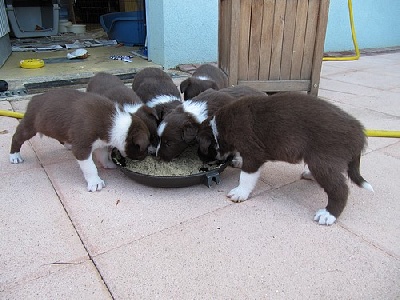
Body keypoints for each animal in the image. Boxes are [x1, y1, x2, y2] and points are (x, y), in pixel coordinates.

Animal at [10, 88, 152, 192]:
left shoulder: (101, 142)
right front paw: (95, 182)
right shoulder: (82, 148)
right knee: (17, 137)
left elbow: (103, 155)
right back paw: (14, 156)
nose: (146, 156)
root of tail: (34, 98)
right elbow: (90, 167)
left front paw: (108, 163)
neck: (117, 123)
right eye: (143, 149)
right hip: (29, 125)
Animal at [198, 91, 374, 225]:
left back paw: (328, 215)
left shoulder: (253, 153)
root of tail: (358, 131)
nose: (201, 162)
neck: (218, 128)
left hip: (322, 161)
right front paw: (238, 160)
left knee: (340, 189)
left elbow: (246, 176)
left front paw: (240, 192)